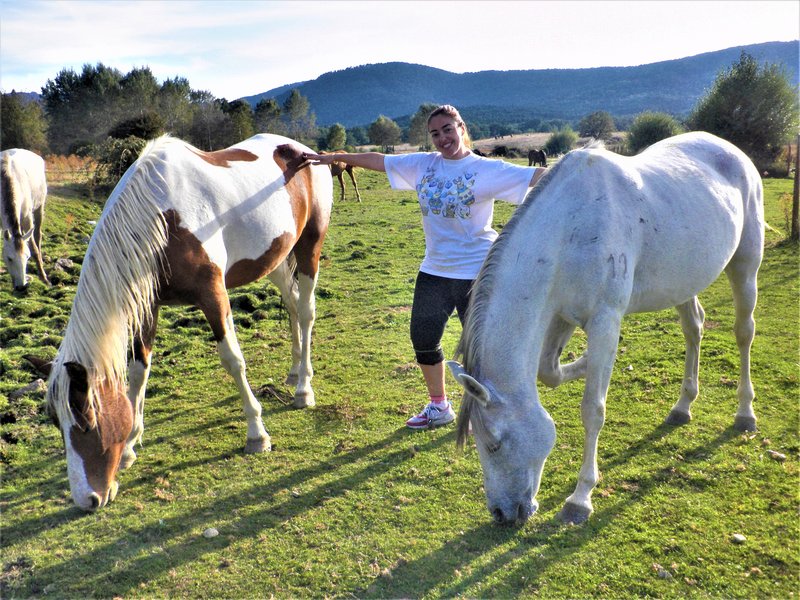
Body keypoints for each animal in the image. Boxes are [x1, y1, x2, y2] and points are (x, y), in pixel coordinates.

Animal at [0, 149, 50, 290]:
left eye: (27, 257)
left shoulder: (27, 218)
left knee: (38, 235)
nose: (21, 287)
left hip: (39, 208)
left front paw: (44, 278)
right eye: (9, 258)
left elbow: (34, 249)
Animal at [41, 134, 332, 508]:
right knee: (293, 306)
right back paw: (294, 372)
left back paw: (303, 389)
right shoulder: (147, 304)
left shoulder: (213, 293)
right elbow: (139, 370)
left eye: (88, 420)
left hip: (309, 247)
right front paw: (131, 443)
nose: (86, 499)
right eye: (56, 423)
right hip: (276, 258)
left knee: (306, 311)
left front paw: (257, 434)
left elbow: (232, 360)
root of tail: (303, 151)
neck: (162, 219)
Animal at [446, 130, 764, 524]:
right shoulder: (561, 316)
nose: (502, 513)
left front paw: (580, 499)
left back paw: (745, 413)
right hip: (683, 281)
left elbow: (592, 410)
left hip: (746, 267)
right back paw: (682, 406)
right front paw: (583, 364)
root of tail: (732, 151)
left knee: (744, 332)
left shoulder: (604, 321)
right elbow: (549, 372)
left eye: (493, 444)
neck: (569, 231)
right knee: (694, 328)